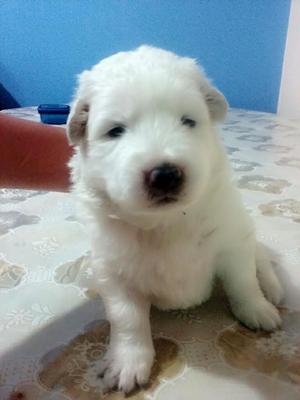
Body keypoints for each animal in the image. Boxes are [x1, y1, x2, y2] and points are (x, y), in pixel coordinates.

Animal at [66, 45, 284, 392]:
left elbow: (242, 282)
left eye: (188, 121)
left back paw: (272, 292)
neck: (164, 223)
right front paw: (127, 364)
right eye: (115, 131)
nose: (165, 175)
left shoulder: (232, 243)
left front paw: (255, 310)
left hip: (246, 231)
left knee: (260, 261)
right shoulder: (112, 270)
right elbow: (127, 318)